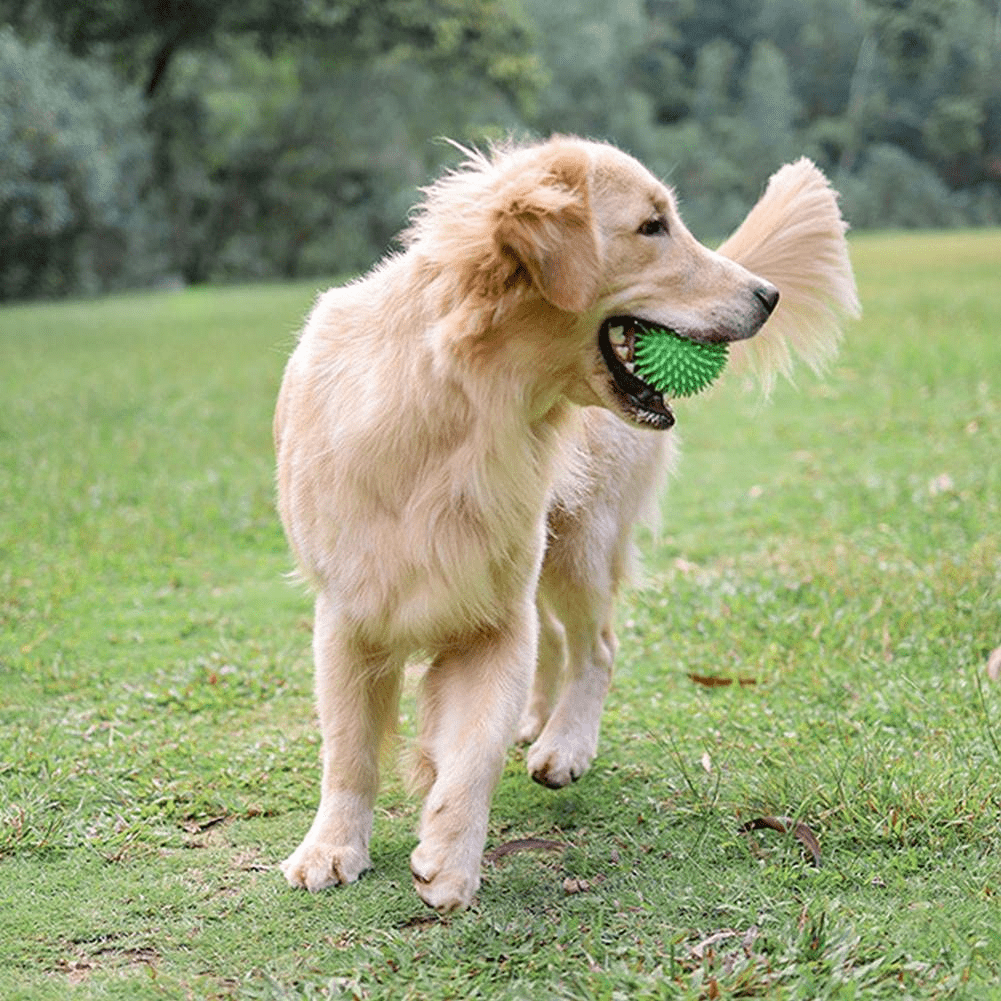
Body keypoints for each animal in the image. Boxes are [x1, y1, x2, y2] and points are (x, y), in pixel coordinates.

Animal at [274, 137, 860, 912]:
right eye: (651, 226)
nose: (768, 295)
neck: (462, 413)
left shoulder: (492, 620)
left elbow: (474, 750)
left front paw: (449, 858)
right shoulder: (349, 617)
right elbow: (348, 750)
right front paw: (333, 846)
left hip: (580, 543)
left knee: (595, 646)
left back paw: (565, 744)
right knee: (556, 640)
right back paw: (539, 720)